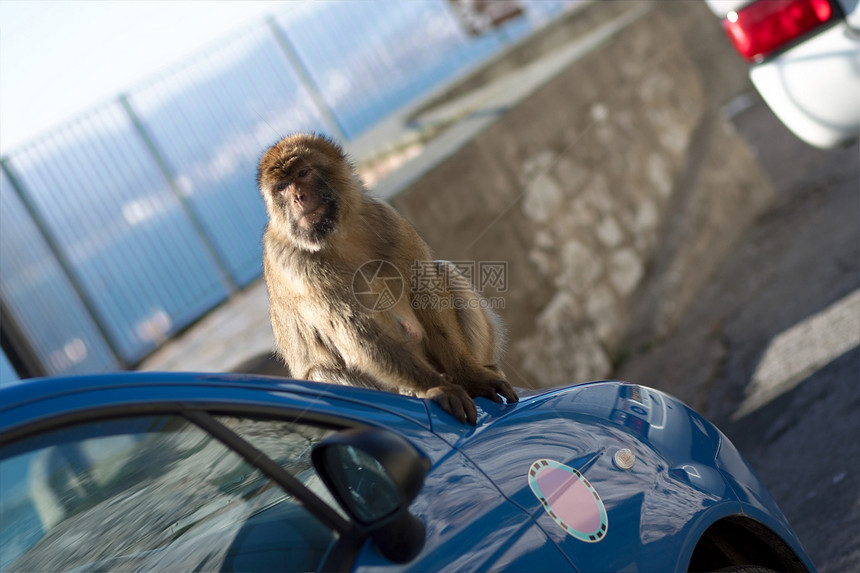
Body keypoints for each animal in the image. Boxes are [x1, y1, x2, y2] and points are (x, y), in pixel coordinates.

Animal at [256, 132, 516, 422]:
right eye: (282, 187)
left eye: (303, 173)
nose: (297, 198)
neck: (338, 235)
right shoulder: (297, 267)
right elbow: (356, 328)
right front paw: (438, 388)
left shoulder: (387, 219)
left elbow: (423, 289)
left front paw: (471, 376)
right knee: (323, 371)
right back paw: (416, 389)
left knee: (443, 271)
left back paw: (478, 368)